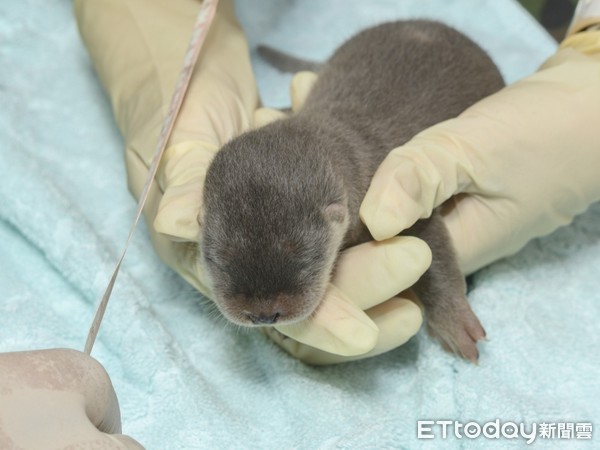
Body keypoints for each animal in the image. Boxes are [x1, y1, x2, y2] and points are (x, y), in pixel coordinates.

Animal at [199, 19, 504, 360]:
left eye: (304, 258)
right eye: (219, 261)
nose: (264, 315)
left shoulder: (397, 200)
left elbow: (433, 256)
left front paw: (454, 319)